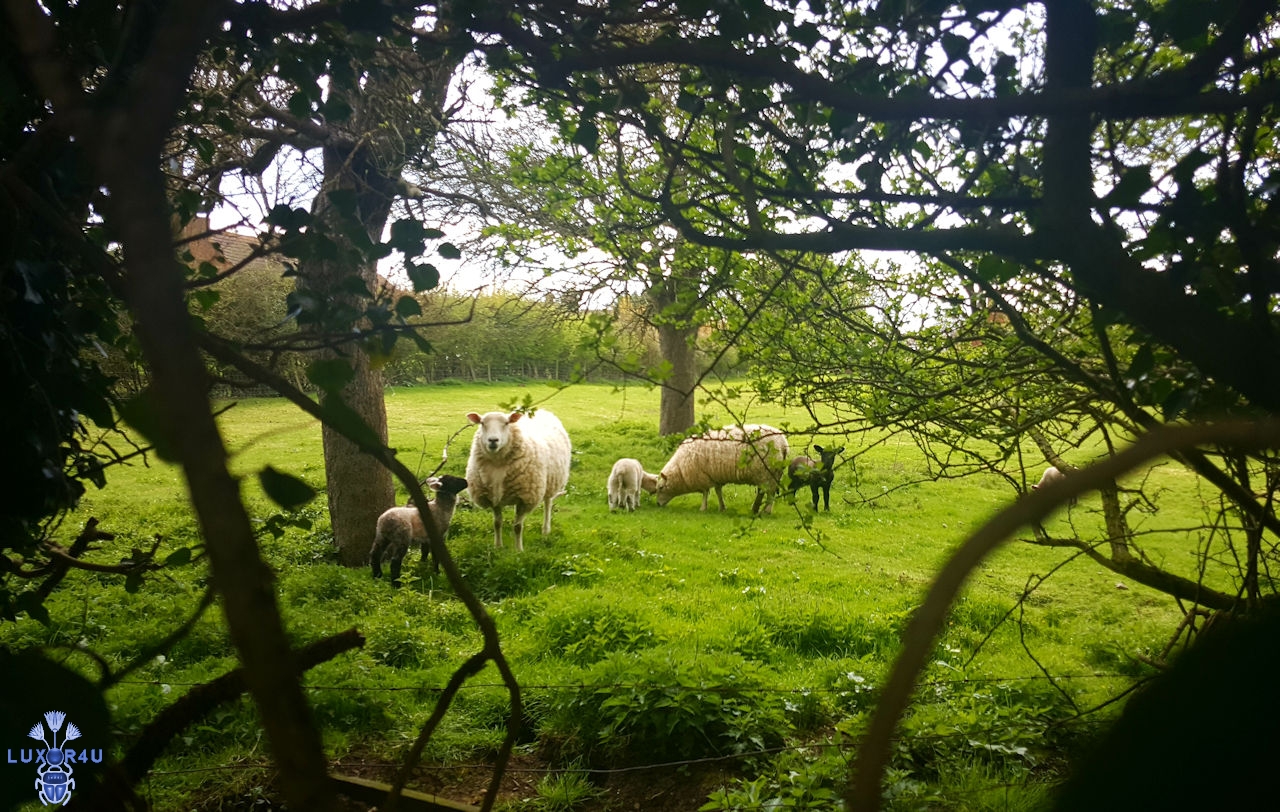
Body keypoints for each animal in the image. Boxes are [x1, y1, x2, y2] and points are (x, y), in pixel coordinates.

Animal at [465, 409, 572, 551]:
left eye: (506, 423)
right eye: (482, 423)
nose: (493, 440)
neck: (498, 463)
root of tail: (541, 410)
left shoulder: (525, 498)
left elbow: (517, 526)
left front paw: (519, 550)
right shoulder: (494, 496)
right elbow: (497, 523)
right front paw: (498, 546)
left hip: (550, 482)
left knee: (548, 504)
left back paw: (545, 530)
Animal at [655, 424, 789, 514]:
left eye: (661, 488)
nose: (657, 504)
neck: (680, 469)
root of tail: (783, 443)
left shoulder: (703, 476)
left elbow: (705, 493)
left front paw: (703, 508)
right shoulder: (714, 476)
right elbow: (718, 491)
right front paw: (722, 507)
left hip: (767, 471)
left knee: (770, 492)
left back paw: (766, 510)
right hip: (769, 472)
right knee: (764, 491)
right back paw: (755, 509)